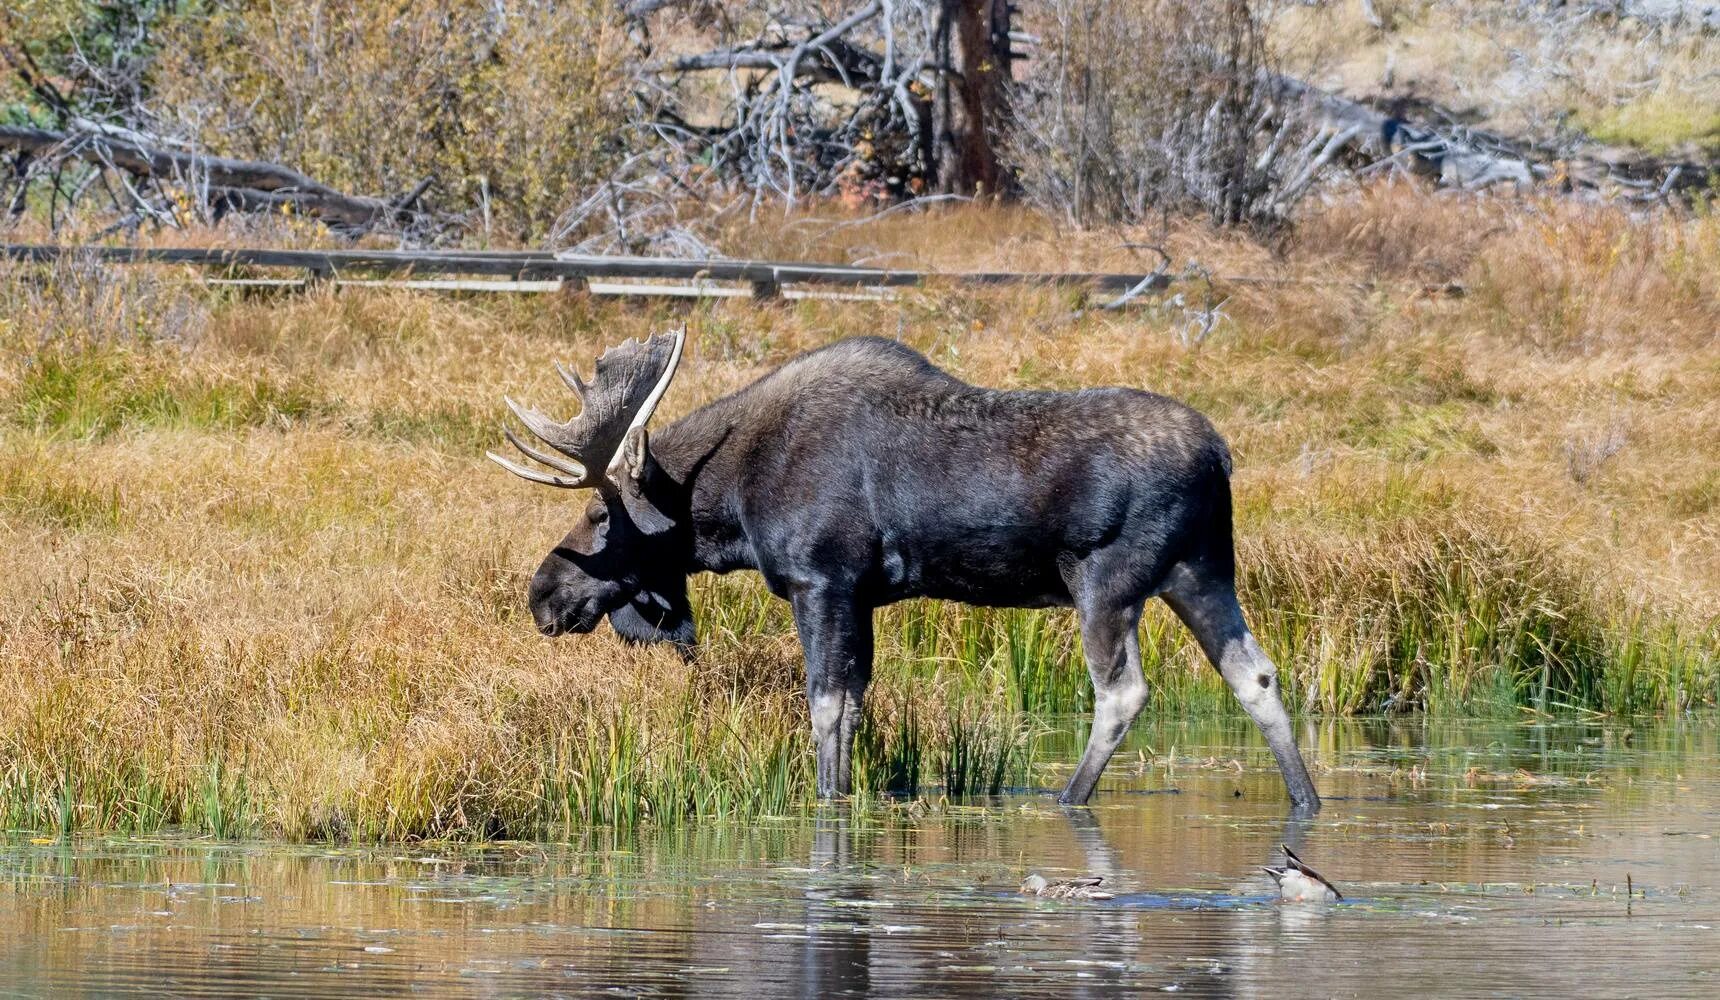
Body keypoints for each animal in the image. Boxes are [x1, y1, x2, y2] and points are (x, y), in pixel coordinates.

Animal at [491, 327, 1320, 812]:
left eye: (600, 515)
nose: (541, 595)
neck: (729, 502)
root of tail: (1221, 457)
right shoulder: (862, 595)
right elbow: (857, 701)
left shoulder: (822, 579)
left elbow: (826, 705)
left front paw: (829, 798)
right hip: (1201, 570)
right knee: (1256, 674)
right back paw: (1306, 800)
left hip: (1107, 580)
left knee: (1123, 692)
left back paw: (1069, 798)